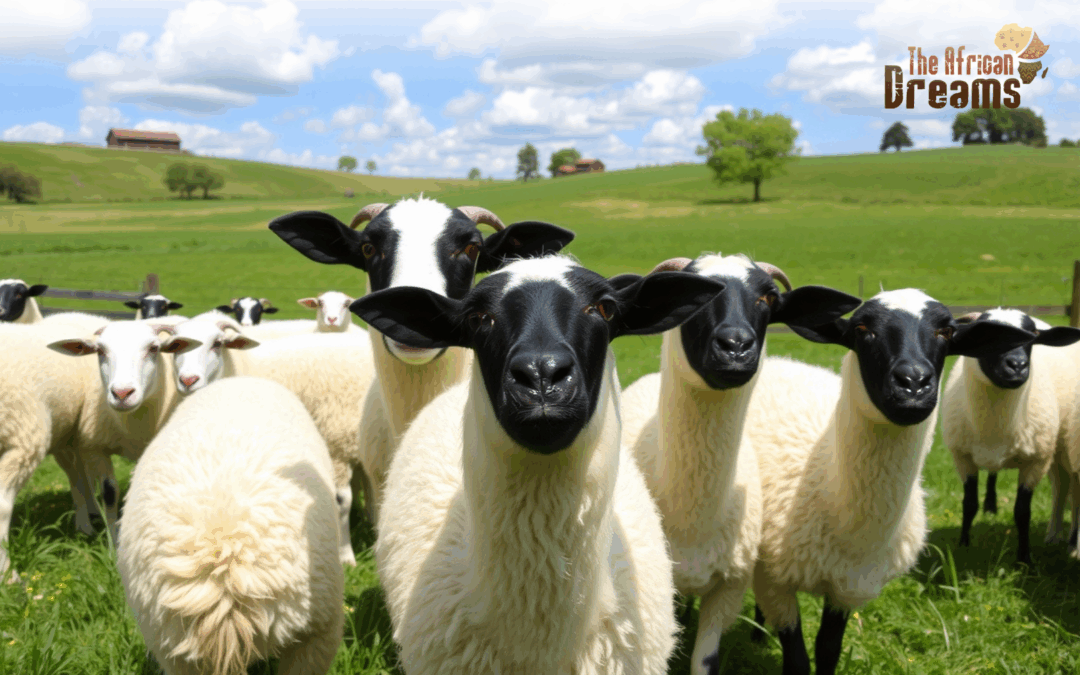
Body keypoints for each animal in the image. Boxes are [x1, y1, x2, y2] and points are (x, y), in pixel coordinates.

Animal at [47, 320, 202, 543]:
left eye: (153, 348)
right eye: (100, 351)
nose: (122, 393)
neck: (132, 425)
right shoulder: (96, 447)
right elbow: (109, 493)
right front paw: (114, 542)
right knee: (75, 476)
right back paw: (84, 524)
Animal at [171, 316, 374, 566]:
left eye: (217, 343)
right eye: (175, 346)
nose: (188, 380)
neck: (246, 369)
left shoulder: (336, 444)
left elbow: (341, 501)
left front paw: (345, 556)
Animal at [620, 254, 860, 675]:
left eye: (768, 298)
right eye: (694, 295)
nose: (735, 347)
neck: (694, 517)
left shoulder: (729, 587)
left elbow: (706, 662)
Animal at [740, 289, 1036, 675]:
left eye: (946, 331)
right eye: (862, 328)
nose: (913, 383)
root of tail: (780, 361)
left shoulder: (849, 586)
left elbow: (828, 651)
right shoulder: (776, 581)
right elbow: (798, 661)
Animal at [940, 309, 1080, 565]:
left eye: (1033, 337)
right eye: (987, 335)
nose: (1017, 365)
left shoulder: (1036, 461)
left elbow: (1022, 513)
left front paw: (1024, 559)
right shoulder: (962, 457)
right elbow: (969, 504)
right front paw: (963, 546)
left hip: (1067, 444)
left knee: (1073, 492)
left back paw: (1073, 544)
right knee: (1060, 487)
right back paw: (1053, 536)